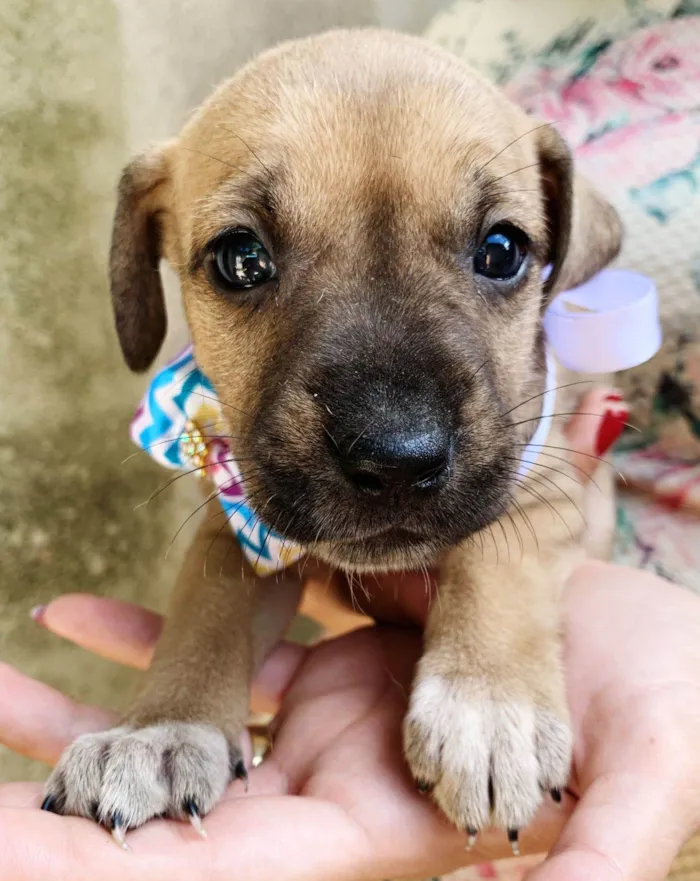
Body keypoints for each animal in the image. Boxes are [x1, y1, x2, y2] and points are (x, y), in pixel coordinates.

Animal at [43, 29, 616, 844]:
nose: (397, 459)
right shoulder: (239, 522)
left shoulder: (561, 485)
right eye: (241, 258)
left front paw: (486, 701)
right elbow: (203, 611)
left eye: (502, 250)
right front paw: (159, 727)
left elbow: (499, 553)